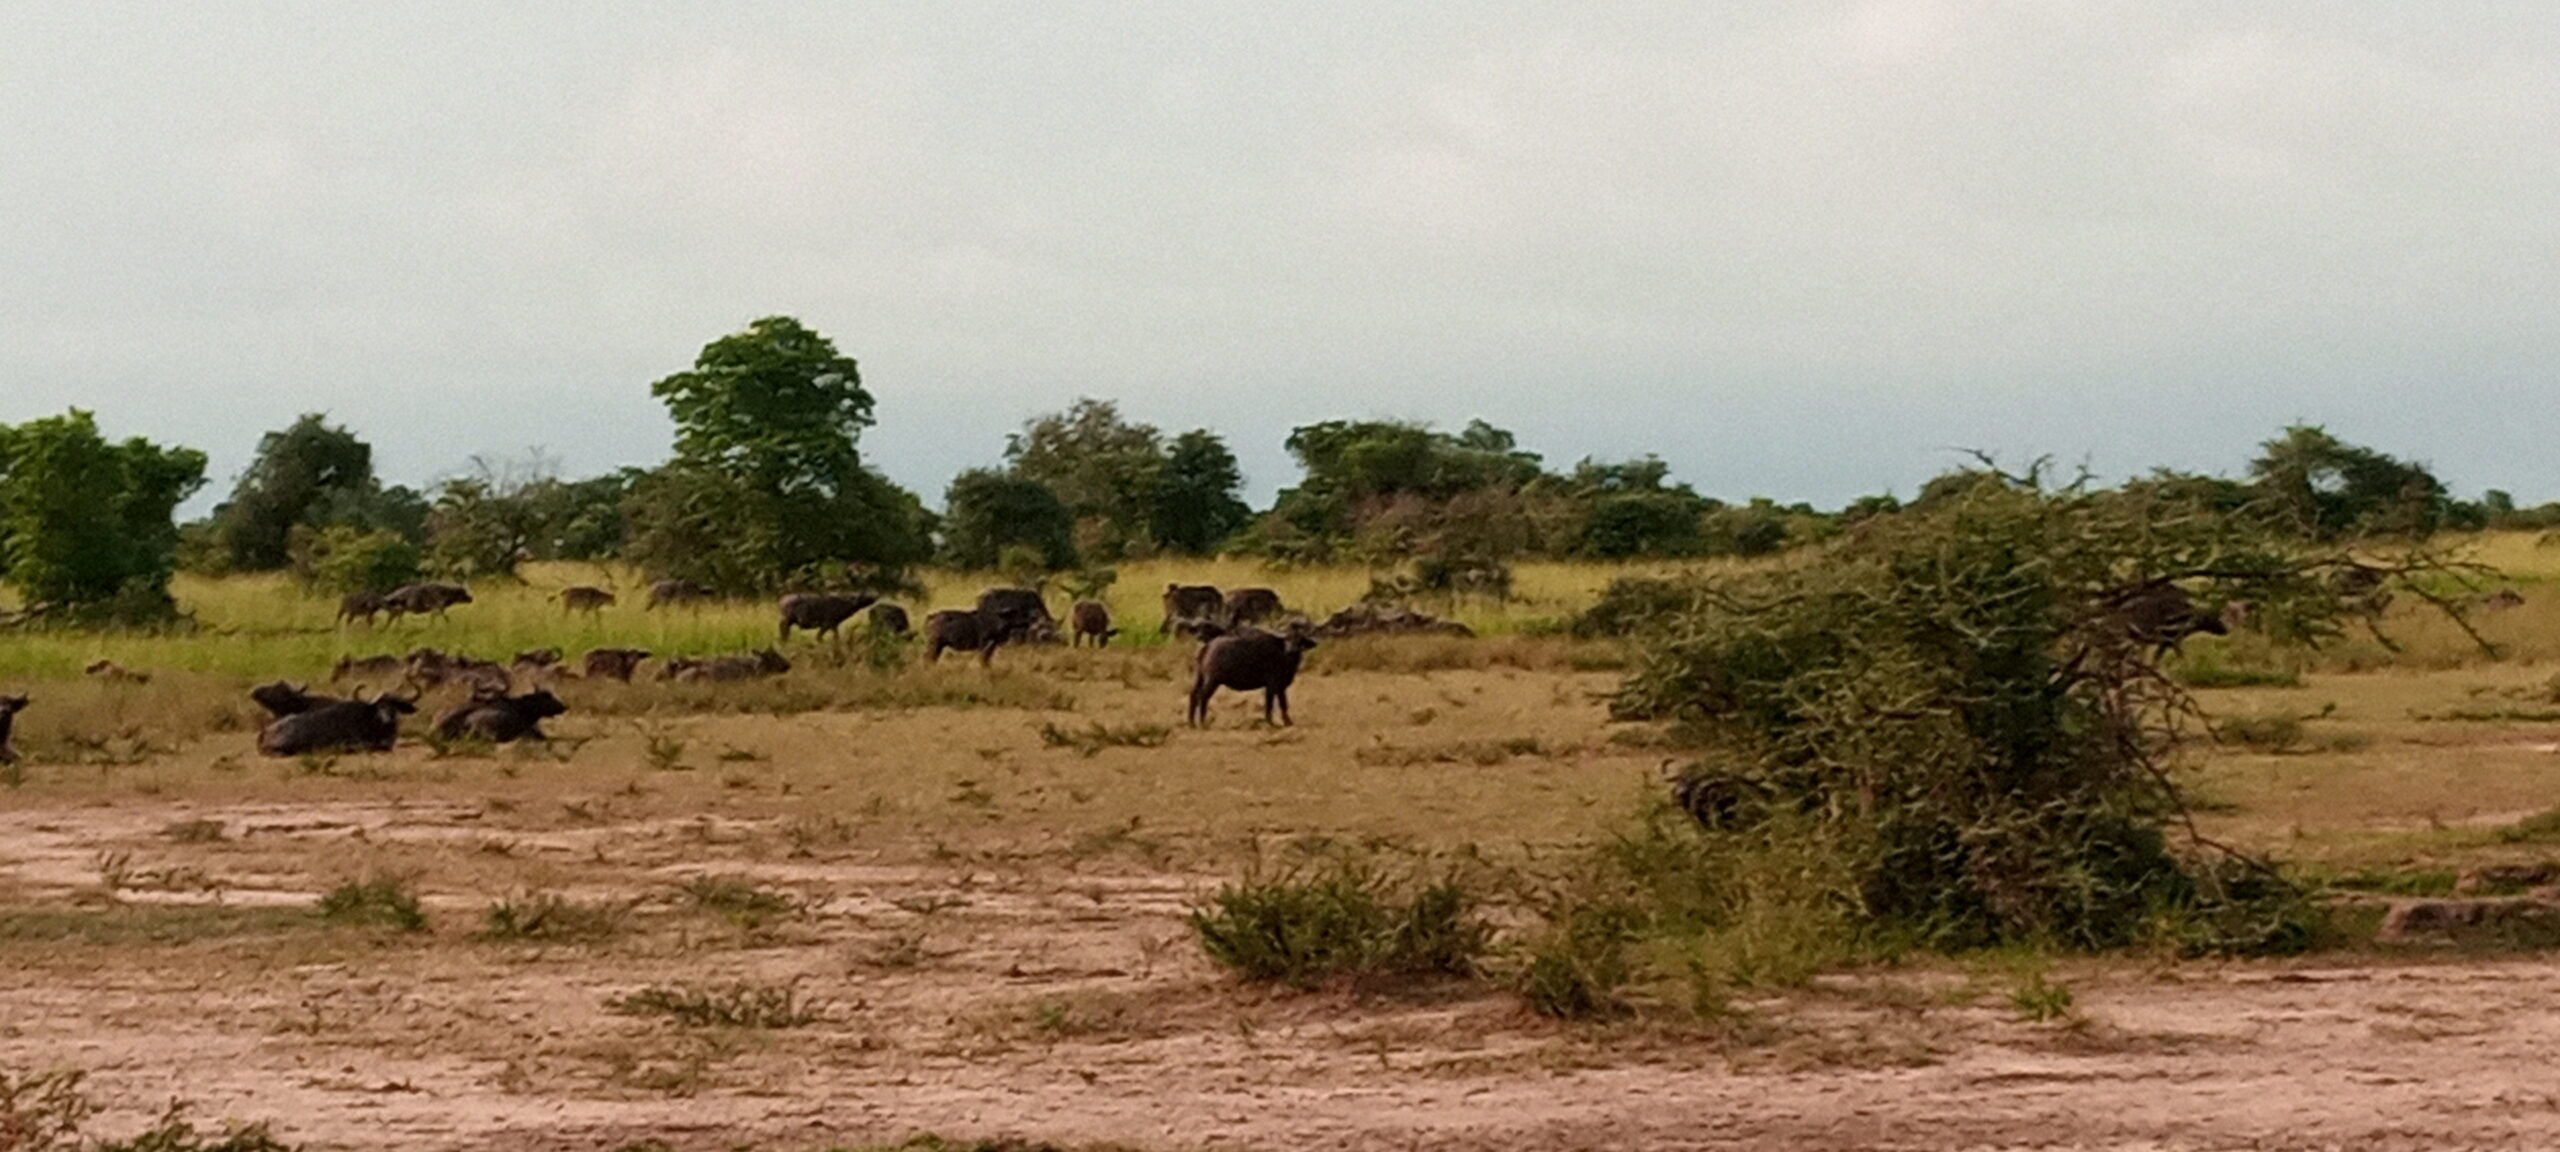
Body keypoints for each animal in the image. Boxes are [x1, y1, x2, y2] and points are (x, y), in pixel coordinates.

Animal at [1187, 624, 1320, 727]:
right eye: (1287, 639)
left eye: (1300, 641)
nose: (1292, 650)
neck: (1284, 656)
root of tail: (1208, 646)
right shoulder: (1272, 685)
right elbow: (1270, 703)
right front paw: (1271, 722)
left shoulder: (1281, 687)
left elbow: (1283, 704)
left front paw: (1288, 722)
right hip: (1212, 680)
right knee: (1202, 696)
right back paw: (1202, 723)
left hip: (1199, 677)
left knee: (1193, 695)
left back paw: (1192, 723)